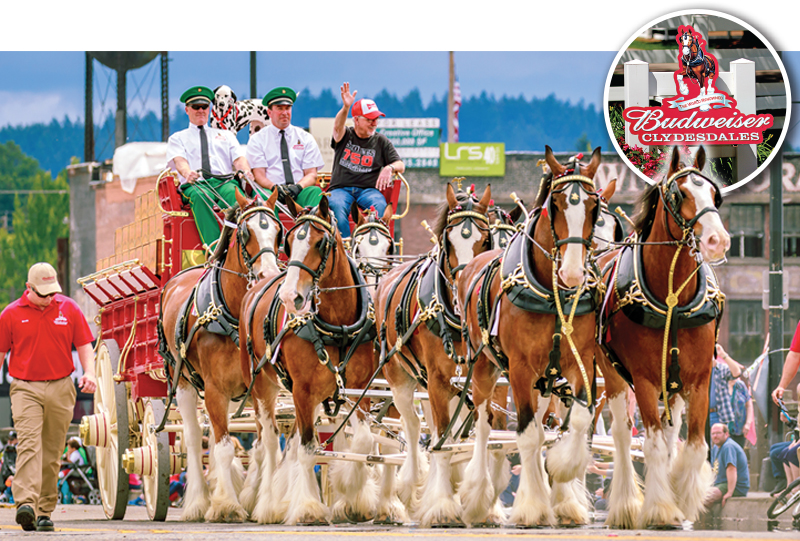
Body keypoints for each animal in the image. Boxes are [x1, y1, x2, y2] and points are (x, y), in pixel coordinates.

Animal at [158, 189, 283, 522]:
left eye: (278, 232)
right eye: (245, 232)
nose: (269, 274)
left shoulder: (261, 387)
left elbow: (263, 443)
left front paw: (258, 501)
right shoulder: (214, 388)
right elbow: (223, 447)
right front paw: (227, 505)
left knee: (216, 436)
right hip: (184, 382)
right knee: (192, 437)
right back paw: (199, 501)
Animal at [238, 195, 378, 525]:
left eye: (320, 243)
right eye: (289, 242)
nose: (291, 297)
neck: (338, 324)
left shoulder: (358, 389)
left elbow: (361, 442)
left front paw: (351, 491)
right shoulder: (301, 389)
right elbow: (307, 449)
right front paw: (307, 507)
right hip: (263, 386)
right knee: (269, 441)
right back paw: (266, 502)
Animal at [372, 182, 493, 527]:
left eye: (485, 240)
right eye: (448, 240)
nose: (465, 291)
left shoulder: (481, 377)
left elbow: (480, 429)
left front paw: (478, 498)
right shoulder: (437, 379)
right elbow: (439, 437)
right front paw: (441, 504)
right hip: (399, 375)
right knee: (412, 426)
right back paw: (410, 485)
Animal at [457, 146, 603, 527]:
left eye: (594, 207)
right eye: (557, 203)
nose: (572, 273)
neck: (551, 293)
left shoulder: (581, 360)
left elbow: (577, 418)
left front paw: (562, 471)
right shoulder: (520, 369)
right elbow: (525, 435)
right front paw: (533, 506)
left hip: (542, 380)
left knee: (537, 423)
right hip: (484, 366)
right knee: (483, 423)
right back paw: (477, 497)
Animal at [598, 145, 729, 528]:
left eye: (715, 194)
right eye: (679, 194)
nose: (717, 241)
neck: (672, 299)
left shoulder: (699, 379)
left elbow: (695, 445)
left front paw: (682, 501)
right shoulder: (643, 379)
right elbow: (651, 444)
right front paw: (659, 509)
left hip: (674, 384)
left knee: (673, 434)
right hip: (611, 374)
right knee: (622, 434)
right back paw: (626, 506)